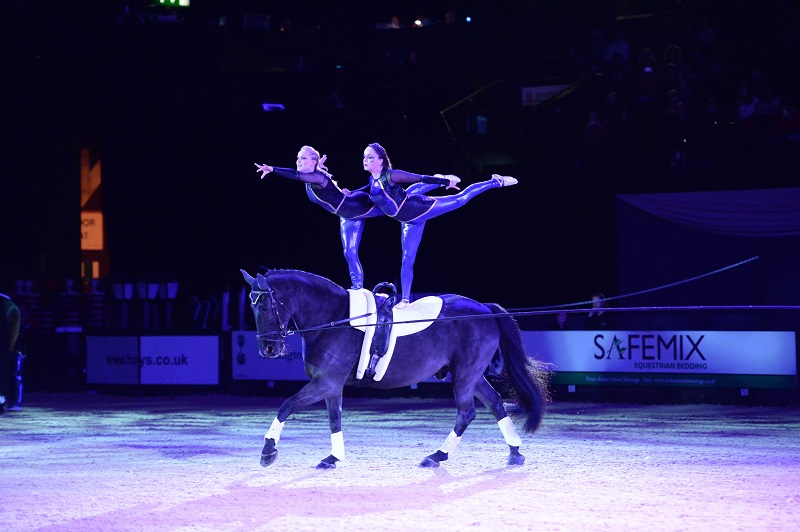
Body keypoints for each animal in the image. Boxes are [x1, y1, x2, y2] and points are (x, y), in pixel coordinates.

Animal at [241, 268, 548, 468]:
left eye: (266, 306)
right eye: (252, 307)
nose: (268, 349)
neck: (334, 318)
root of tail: (485, 308)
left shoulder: (325, 383)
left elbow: (287, 405)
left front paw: (268, 451)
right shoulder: (330, 385)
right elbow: (334, 419)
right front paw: (333, 458)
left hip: (464, 375)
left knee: (466, 412)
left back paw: (436, 456)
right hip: (472, 375)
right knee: (495, 403)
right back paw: (514, 453)